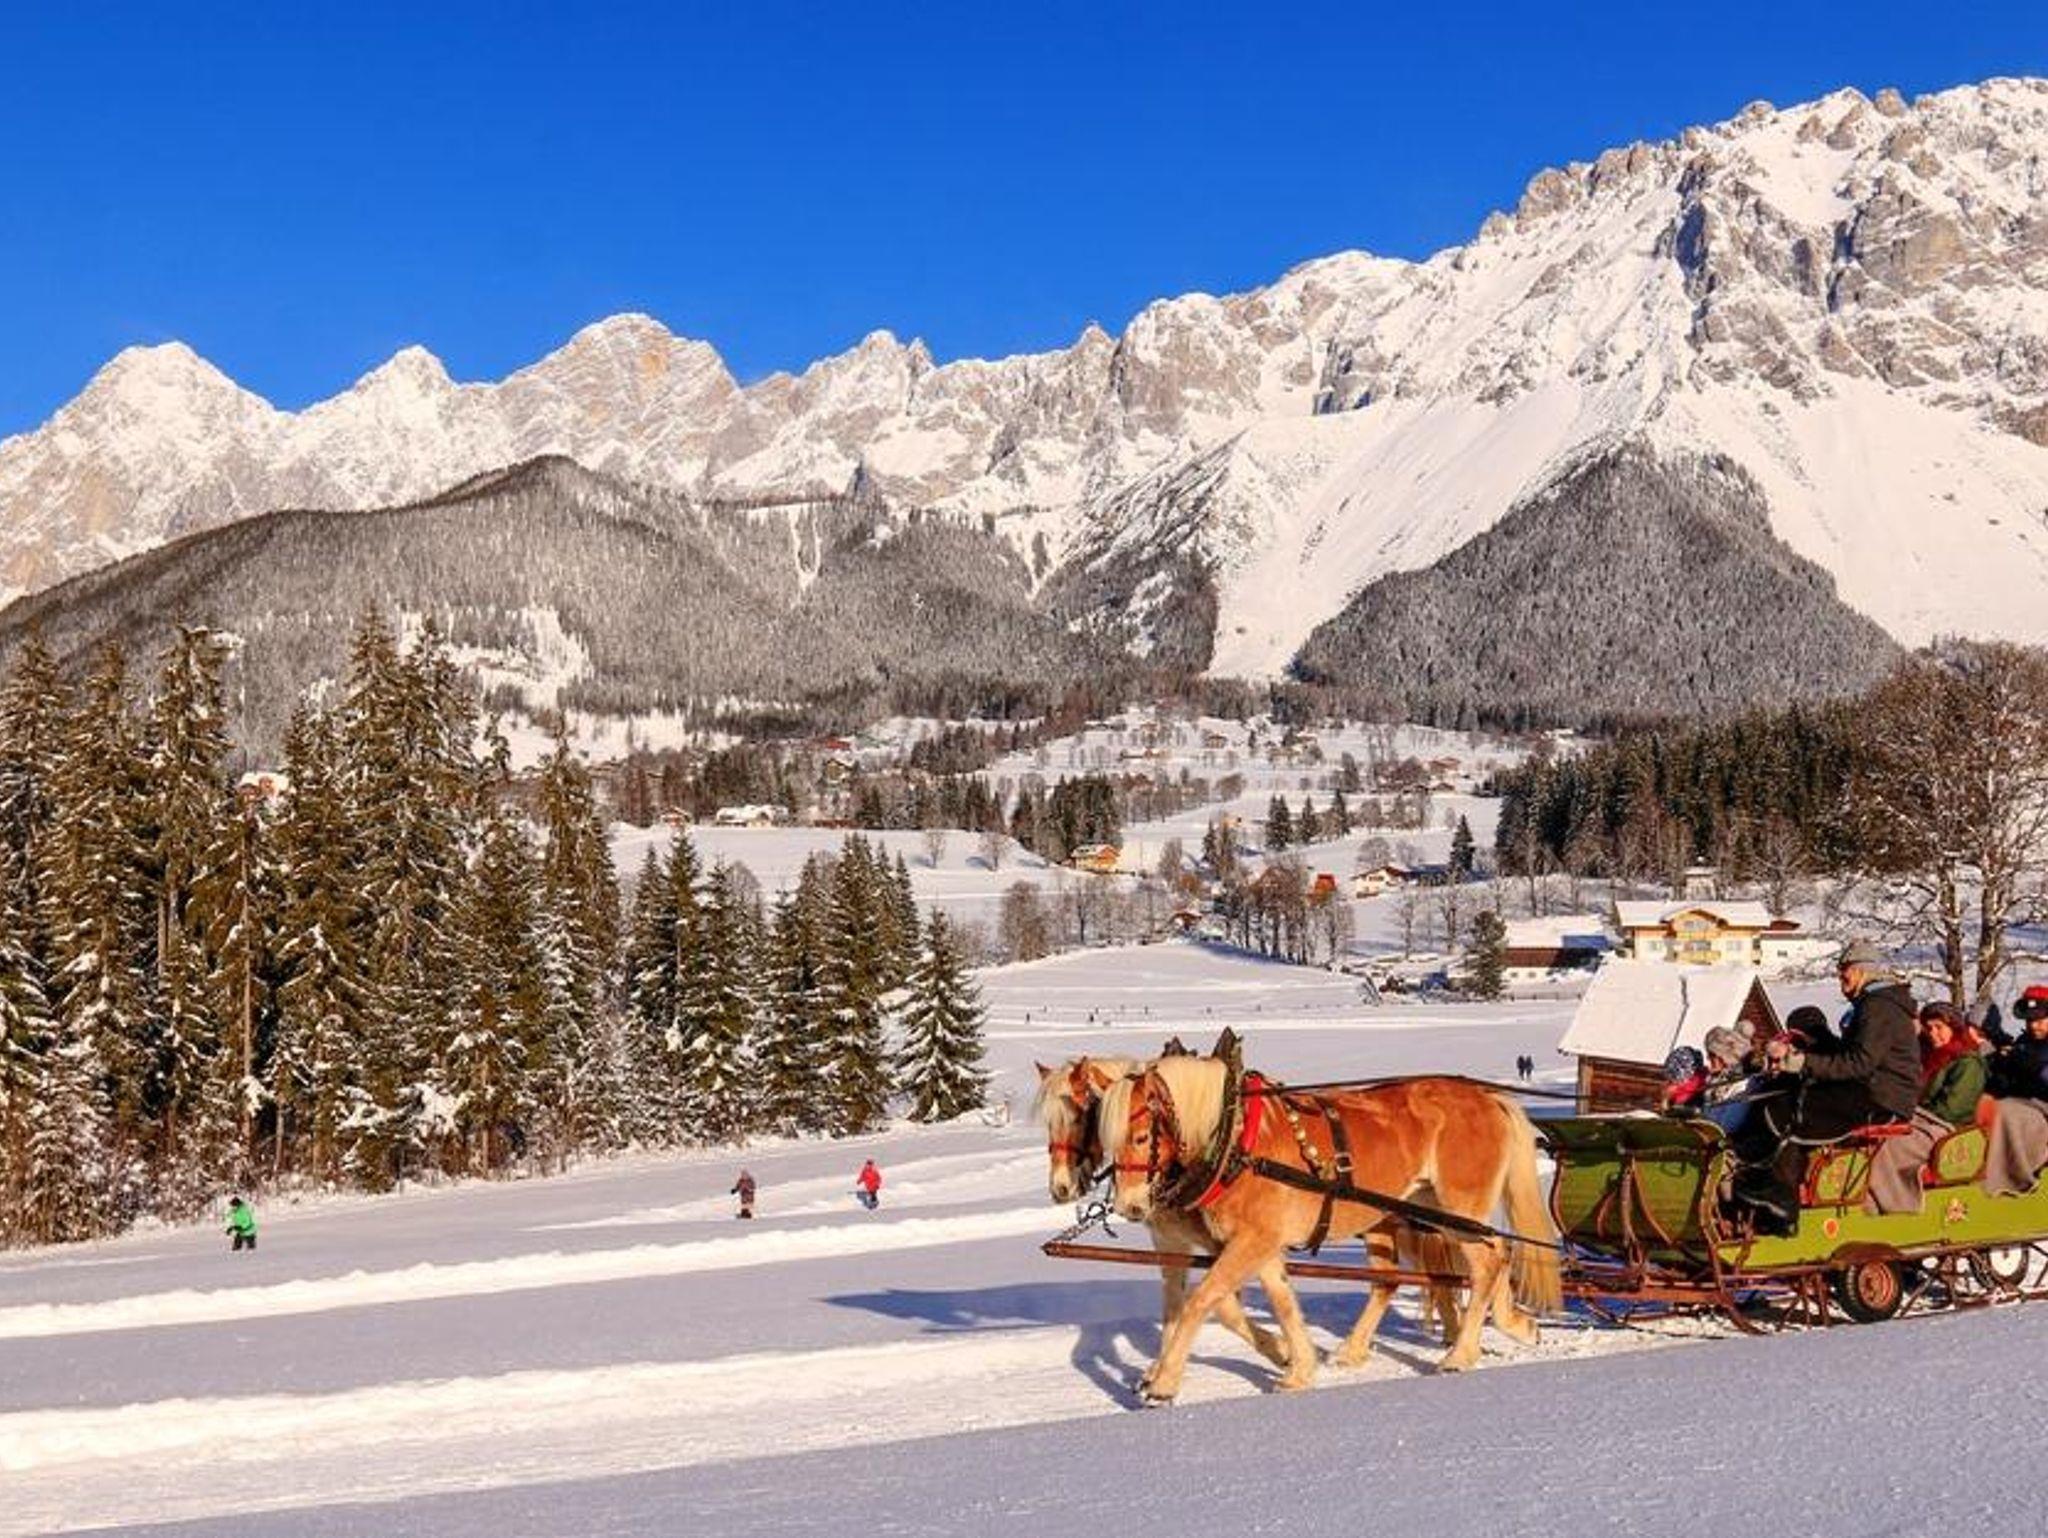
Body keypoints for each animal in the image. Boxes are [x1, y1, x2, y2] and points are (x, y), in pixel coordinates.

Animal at [1105, 1057, 1561, 1401]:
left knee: (1488, 1262)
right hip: (1427, 1211)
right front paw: (1296, 1365)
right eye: (1107, 1139)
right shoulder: (1260, 1243)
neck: (1235, 1141)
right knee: (1478, 1258)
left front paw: (1164, 1383)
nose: (1130, 1207)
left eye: (1142, 1136)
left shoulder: (1253, 1240)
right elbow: (1280, 1302)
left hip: (1456, 1207)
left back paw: (1461, 1354)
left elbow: (1201, 1300)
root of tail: (1488, 1096)